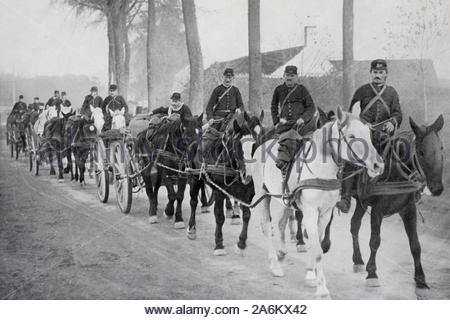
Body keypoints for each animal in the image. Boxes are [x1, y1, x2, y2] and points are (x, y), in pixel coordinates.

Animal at [187, 111, 264, 256]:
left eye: (256, 142)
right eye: (238, 144)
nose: (247, 174)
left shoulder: (247, 193)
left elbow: (247, 215)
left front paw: (241, 243)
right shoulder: (218, 192)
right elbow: (219, 217)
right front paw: (219, 245)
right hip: (195, 178)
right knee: (193, 202)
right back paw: (191, 228)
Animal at [241, 105, 384, 298]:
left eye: (368, 134)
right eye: (352, 136)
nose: (378, 165)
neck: (320, 170)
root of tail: (261, 146)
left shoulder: (325, 214)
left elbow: (316, 244)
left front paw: (310, 274)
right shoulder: (310, 212)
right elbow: (317, 251)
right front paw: (321, 287)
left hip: (284, 200)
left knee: (280, 224)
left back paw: (282, 253)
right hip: (263, 194)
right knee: (266, 226)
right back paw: (275, 265)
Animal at [350, 115, 444, 296]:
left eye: (441, 148)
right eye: (421, 152)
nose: (437, 188)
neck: (394, 172)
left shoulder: (408, 209)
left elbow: (415, 245)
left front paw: (421, 281)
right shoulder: (377, 211)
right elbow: (375, 241)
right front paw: (372, 274)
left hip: (360, 202)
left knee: (354, 225)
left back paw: (357, 260)